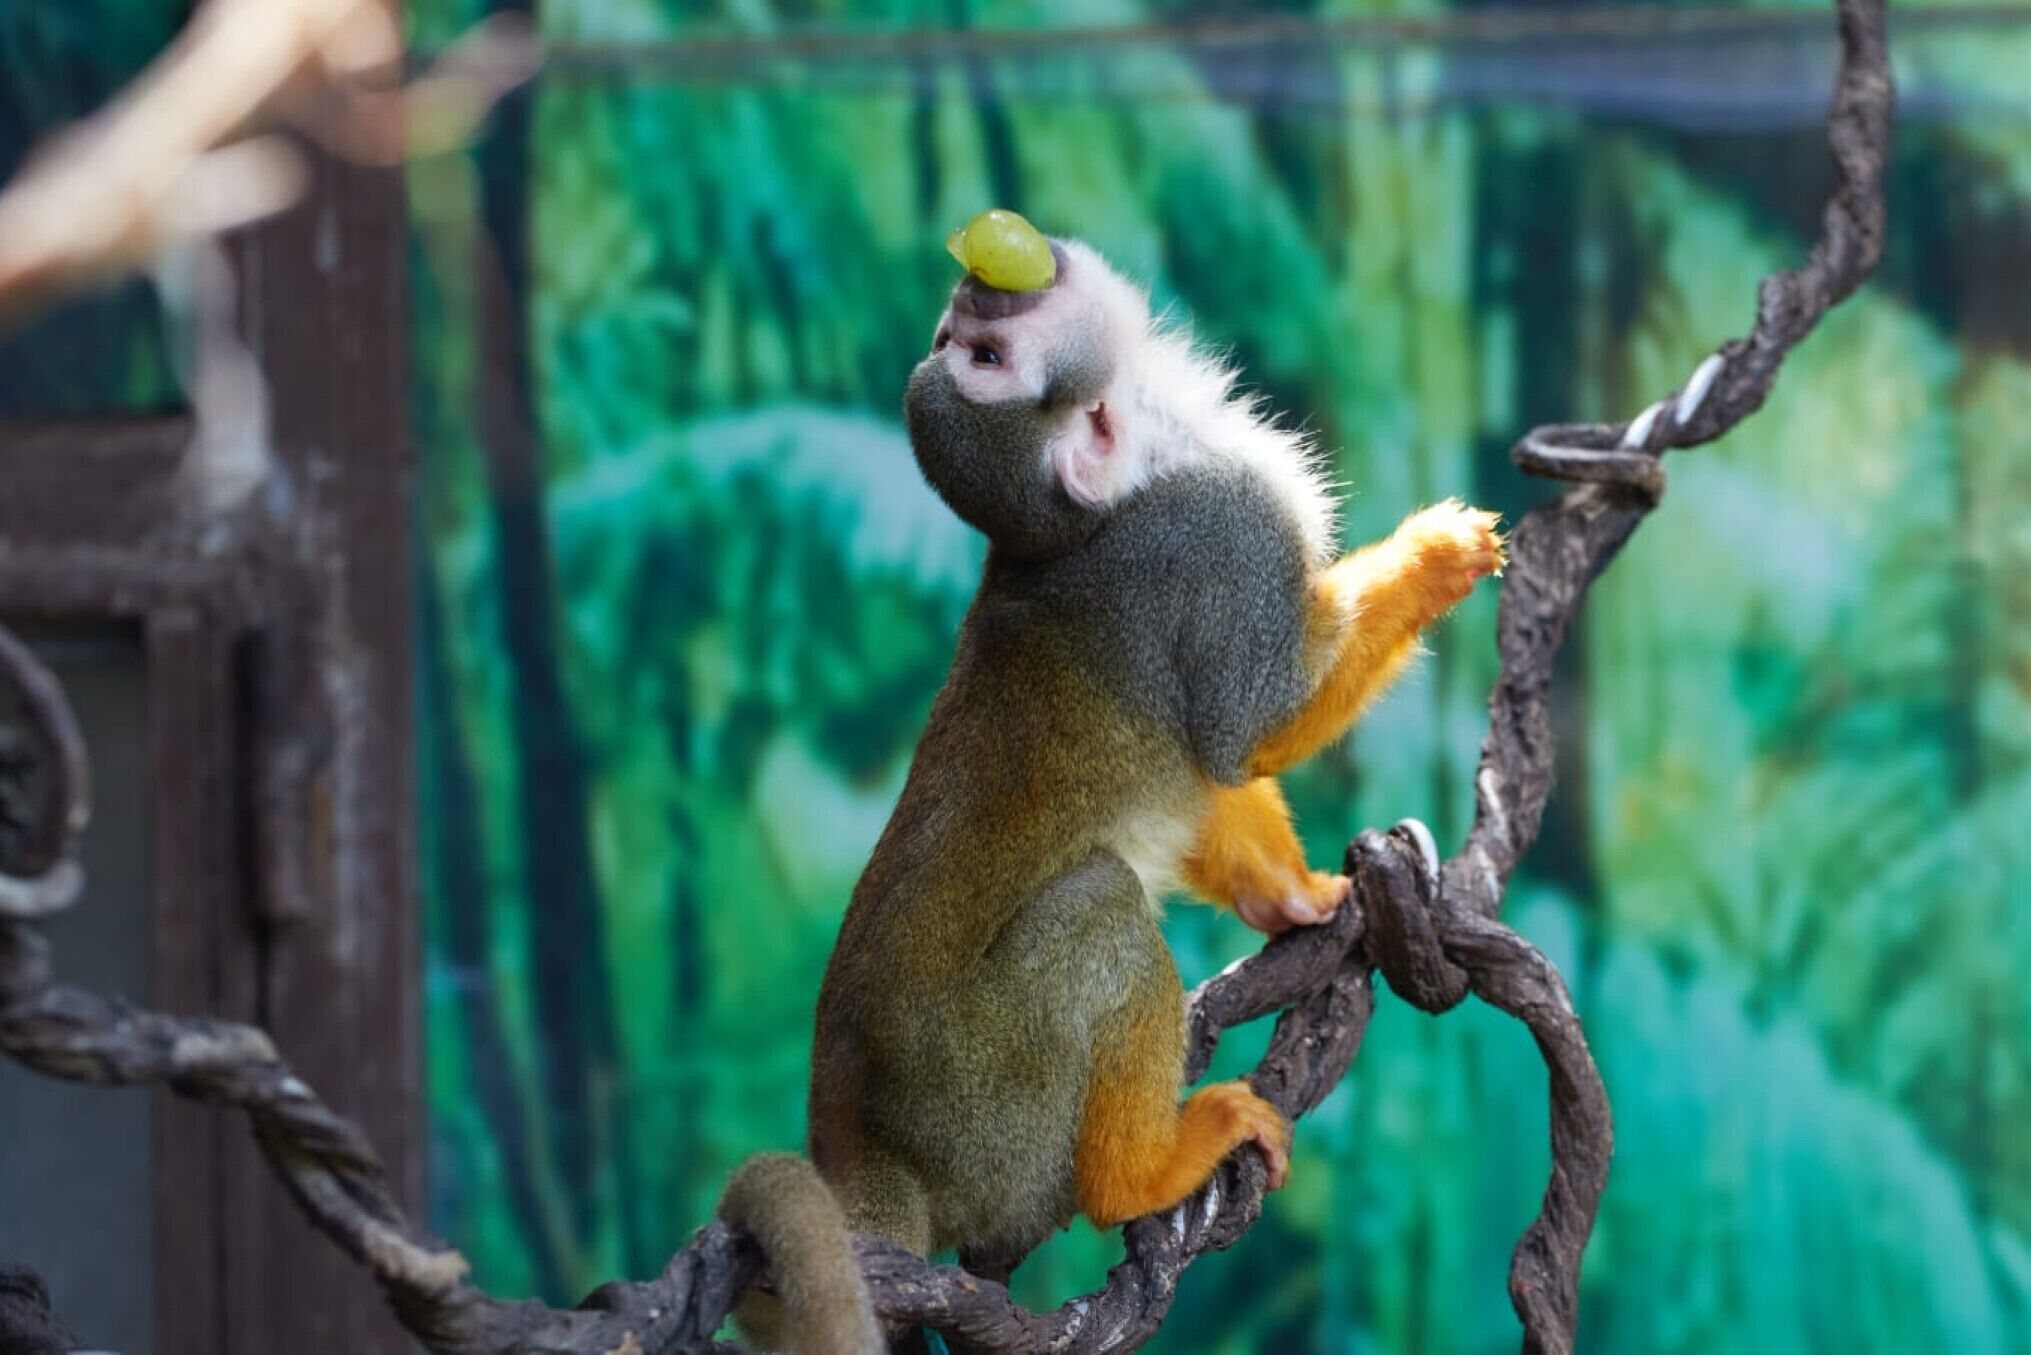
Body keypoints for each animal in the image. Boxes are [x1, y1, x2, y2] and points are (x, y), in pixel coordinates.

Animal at [718, 234, 1504, 1352]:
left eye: (964, 341)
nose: (981, 285)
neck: (1146, 461)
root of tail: (862, 1146)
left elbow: (1204, 775)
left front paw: (1299, 896)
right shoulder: (1221, 531)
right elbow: (1246, 727)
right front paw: (1433, 557)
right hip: (993, 1115)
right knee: (1099, 905)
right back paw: (1138, 1176)